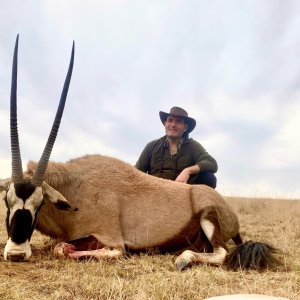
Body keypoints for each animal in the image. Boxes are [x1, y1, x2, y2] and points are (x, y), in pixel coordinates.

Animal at [0, 36, 282, 270]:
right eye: (7, 200)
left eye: (39, 204)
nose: (16, 254)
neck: (77, 188)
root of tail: (228, 209)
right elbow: (58, 245)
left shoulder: (110, 238)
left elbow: (68, 248)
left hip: (208, 217)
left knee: (222, 253)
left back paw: (183, 258)